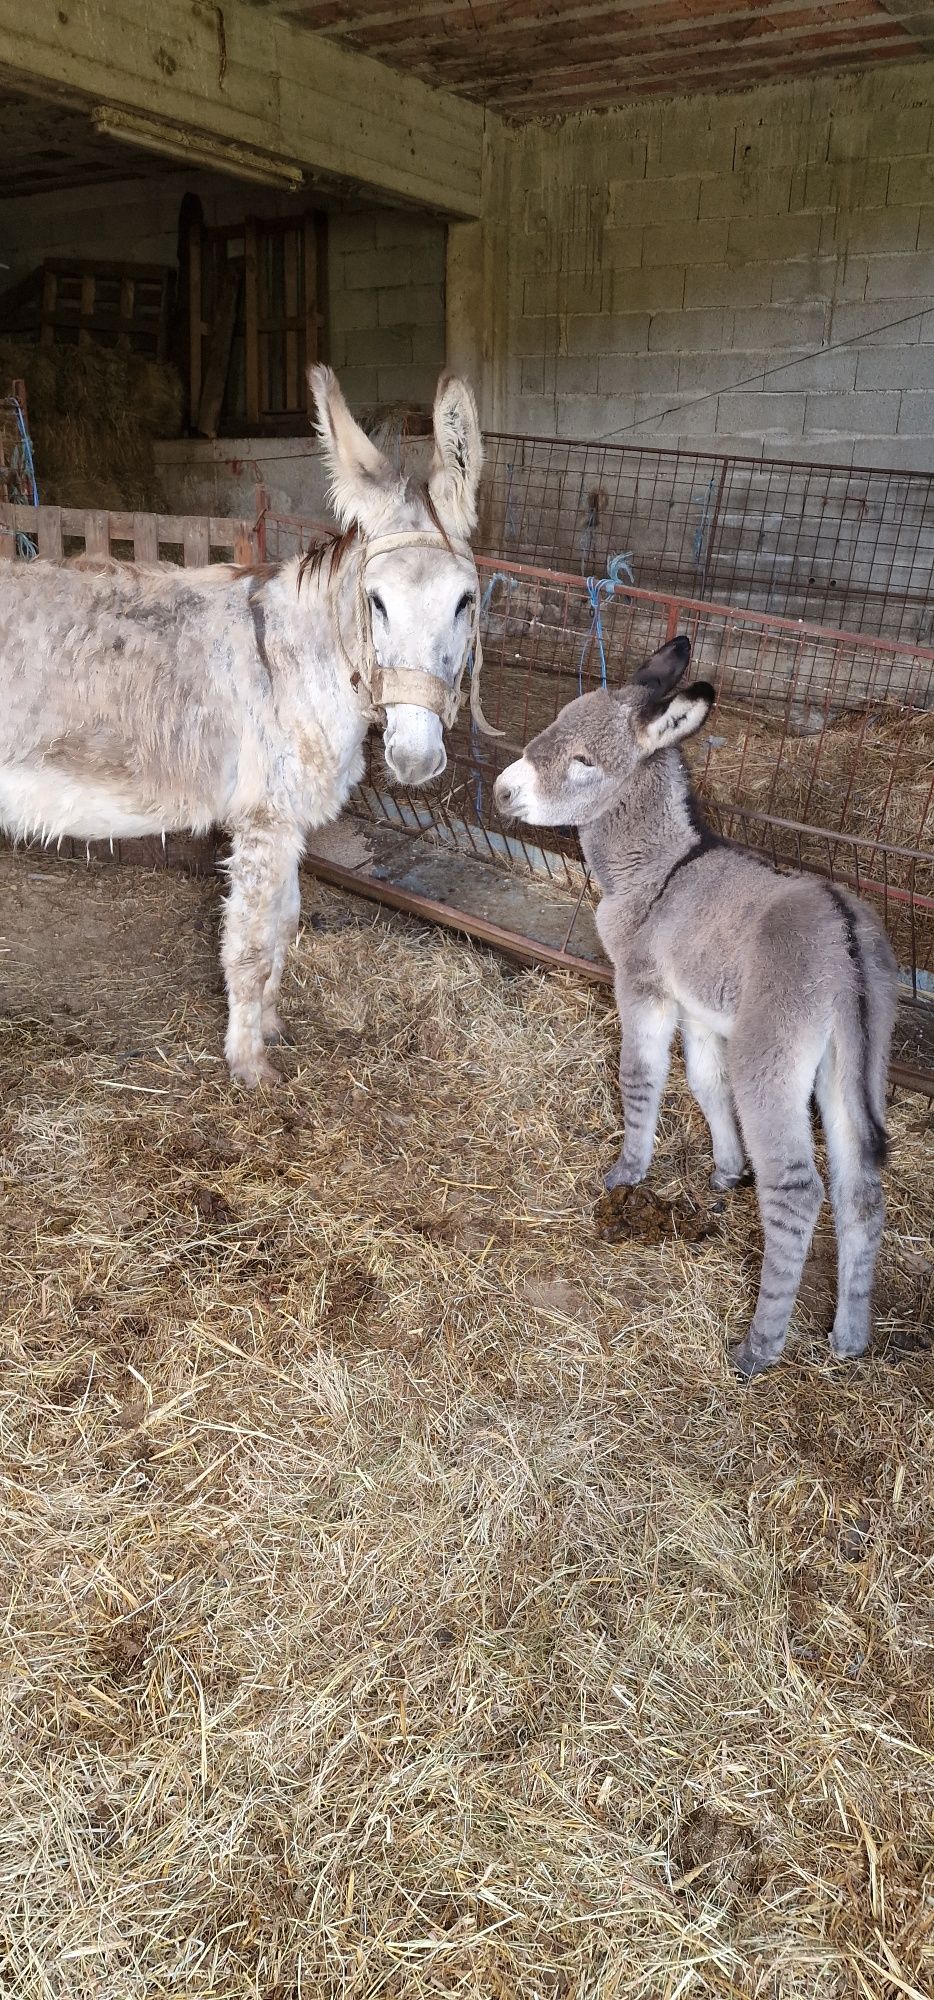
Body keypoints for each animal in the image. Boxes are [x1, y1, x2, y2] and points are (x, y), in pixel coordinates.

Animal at [498, 640, 900, 1376]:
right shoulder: (703, 1014)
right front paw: (725, 1171)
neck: (660, 869)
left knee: (800, 1192)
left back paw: (758, 1348)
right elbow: (707, 1086)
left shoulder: (644, 989)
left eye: (585, 761)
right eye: (555, 720)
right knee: (860, 1190)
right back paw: (849, 1336)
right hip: (854, 1063)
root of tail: (845, 933)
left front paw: (627, 1172)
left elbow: (641, 1079)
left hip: (773, 1058)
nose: (501, 791)